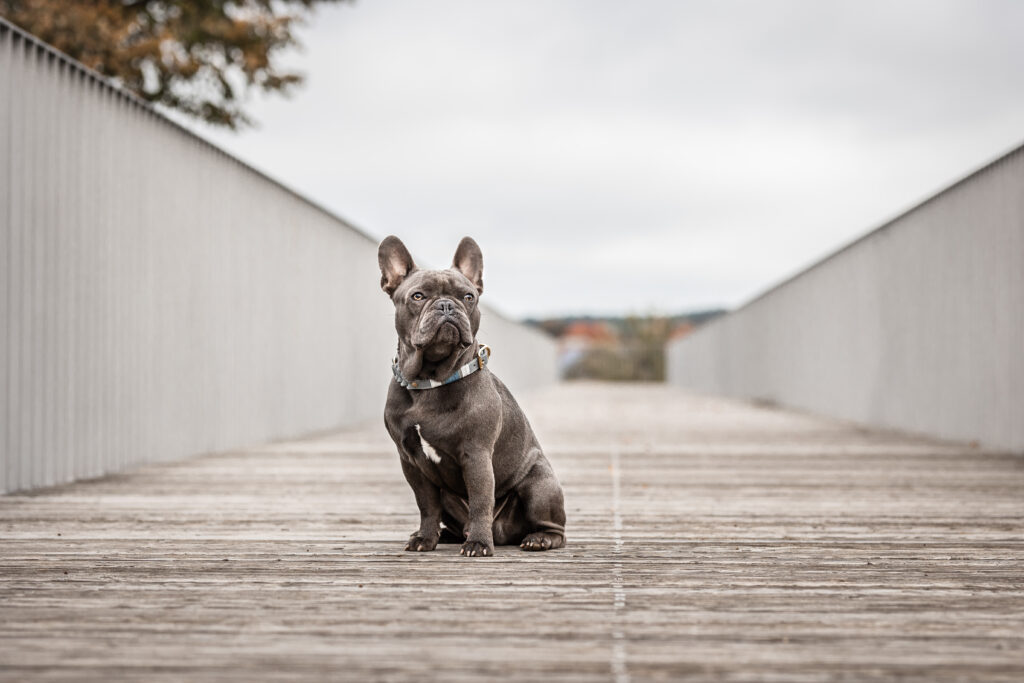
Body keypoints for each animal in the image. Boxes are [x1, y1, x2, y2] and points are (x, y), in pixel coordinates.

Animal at [378, 237, 569, 557]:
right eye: (418, 296)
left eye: (468, 297)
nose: (446, 305)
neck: (432, 379)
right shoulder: (411, 462)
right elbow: (426, 505)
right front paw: (425, 538)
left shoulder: (476, 454)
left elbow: (481, 500)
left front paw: (479, 543)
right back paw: (443, 535)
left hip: (539, 485)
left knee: (554, 528)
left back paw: (537, 539)